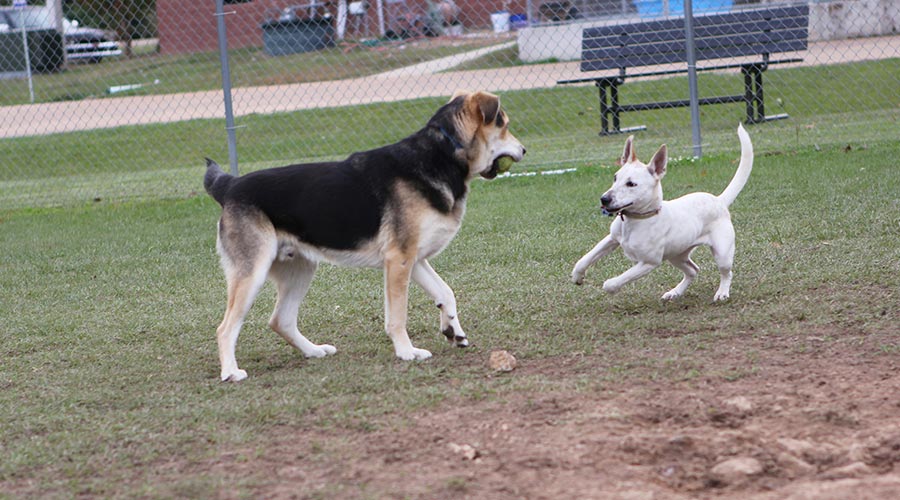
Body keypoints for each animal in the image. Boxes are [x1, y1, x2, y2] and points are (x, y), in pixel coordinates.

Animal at [204, 90, 528, 380]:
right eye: (505, 125)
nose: (524, 150)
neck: (443, 153)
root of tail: (230, 186)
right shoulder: (399, 260)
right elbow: (397, 316)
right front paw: (407, 352)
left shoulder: (413, 260)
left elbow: (445, 293)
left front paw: (453, 331)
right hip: (252, 274)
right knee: (225, 328)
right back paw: (231, 372)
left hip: (300, 269)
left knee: (280, 320)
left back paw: (313, 351)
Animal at [572, 124, 756, 300]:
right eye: (615, 177)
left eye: (631, 184)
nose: (604, 199)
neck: (638, 219)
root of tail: (719, 200)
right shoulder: (611, 239)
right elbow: (585, 258)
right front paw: (577, 276)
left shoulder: (649, 262)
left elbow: (614, 282)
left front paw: (611, 287)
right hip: (676, 255)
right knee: (693, 270)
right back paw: (675, 292)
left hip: (722, 254)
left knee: (726, 273)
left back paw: (722, 292)